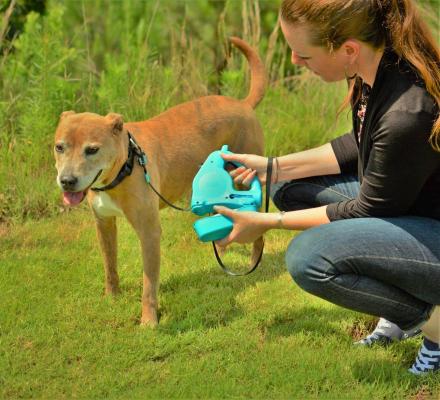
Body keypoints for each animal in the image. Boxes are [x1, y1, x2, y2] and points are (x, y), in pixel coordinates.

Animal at [53, 36, 266, 324]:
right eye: (59, 147)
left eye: (92, 149)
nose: (67, 180)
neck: (125, 166)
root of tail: (243, 104)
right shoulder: (104, 224)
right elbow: (110, 266)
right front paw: (111, 298)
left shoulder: (149, 232)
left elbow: (148, 284)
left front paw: (149, 321)